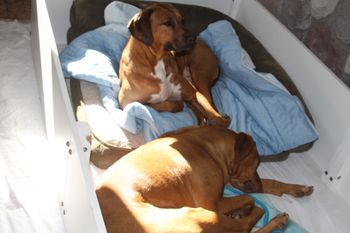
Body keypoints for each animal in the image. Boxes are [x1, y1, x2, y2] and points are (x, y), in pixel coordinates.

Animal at [96, 126, 314, 233]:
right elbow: (248, 198)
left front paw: (297, 188)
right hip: (197, 215)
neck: (204, 145)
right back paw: (272, 219)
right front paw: (244, 209)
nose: (258, 186)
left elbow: (269, 183)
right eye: (257, 162)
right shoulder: (210, 204)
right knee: (245, 226)